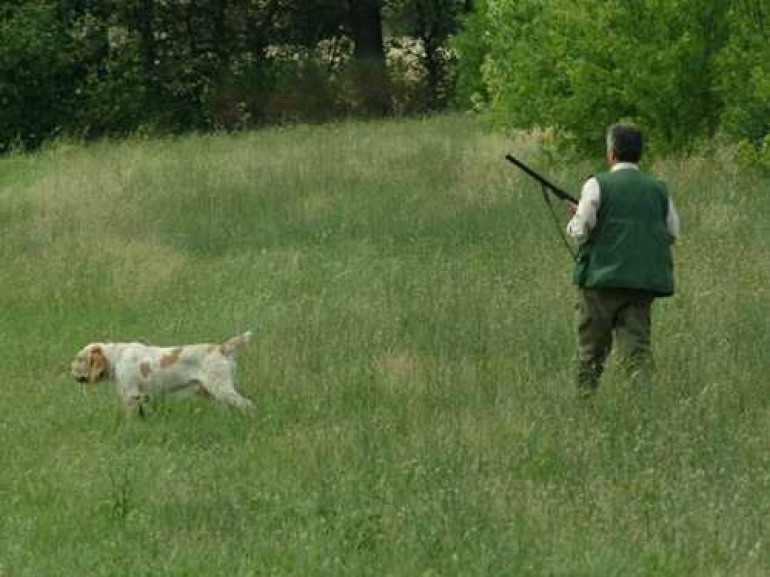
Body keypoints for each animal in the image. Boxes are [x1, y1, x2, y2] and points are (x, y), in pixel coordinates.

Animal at [70, 328, 254, 414]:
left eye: (80, 358)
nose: (71, 371)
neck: (117, 357)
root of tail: (221, 348)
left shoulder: (131, 395)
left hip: (222, 389)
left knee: (247, 404)